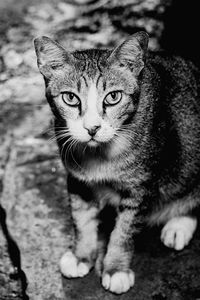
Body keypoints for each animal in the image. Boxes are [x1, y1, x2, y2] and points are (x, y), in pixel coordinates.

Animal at [34, 31, 200, 294]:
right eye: (70, 98)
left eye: (113, 97)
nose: (92, 128)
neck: (100, 154)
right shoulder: (78, 180)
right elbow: (81, 219)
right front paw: (81, 255)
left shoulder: (140, 187)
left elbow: (124, 231)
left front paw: (115, 269)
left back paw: (178, 225)